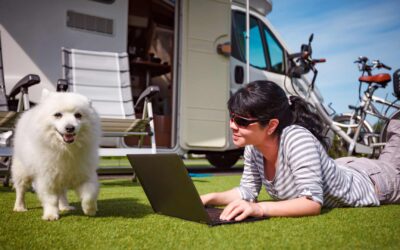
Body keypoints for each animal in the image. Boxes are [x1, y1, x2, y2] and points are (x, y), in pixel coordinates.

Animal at [11, 90, 101, 221]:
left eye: (78, 115)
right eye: (58, 115)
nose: (70, 128)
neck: (66, 149)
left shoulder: (85, 174)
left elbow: (90, 194)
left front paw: (90, 209)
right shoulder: (46, 179)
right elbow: (51, 200)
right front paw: (51, 215)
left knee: (62, 193)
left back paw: (64, 206)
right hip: (22, 171)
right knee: (20, 190)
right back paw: (20, 207)